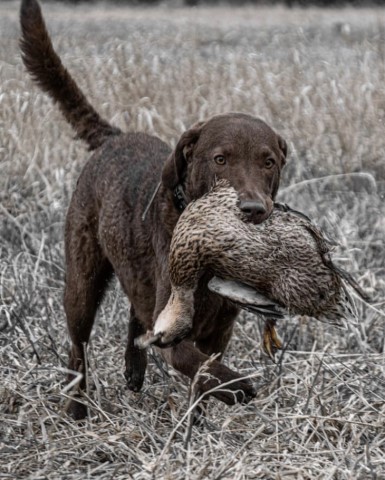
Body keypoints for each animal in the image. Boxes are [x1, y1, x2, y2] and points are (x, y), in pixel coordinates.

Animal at [19, 0, 286, 418]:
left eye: (268, 161)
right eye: (220, 159)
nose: (253, 208)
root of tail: (113, 137)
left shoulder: (220, 329)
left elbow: (203, 375)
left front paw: (199, 417)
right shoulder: (176, 336)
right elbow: (200, 366)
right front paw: (238, 387)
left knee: (136, 310)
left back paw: (133, 369)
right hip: (82, 279)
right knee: (78, 345)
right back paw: (76, 406)